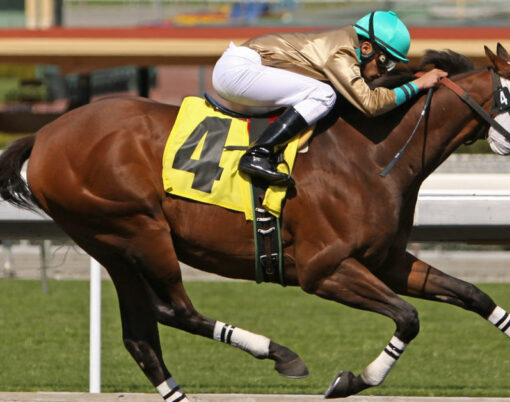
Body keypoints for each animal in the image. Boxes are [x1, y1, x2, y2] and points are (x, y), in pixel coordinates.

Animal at [0, 45, 510, 400]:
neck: (370, 154)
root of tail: (46, 134)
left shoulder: (387, 260)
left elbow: (474, 295)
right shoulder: (324, 270)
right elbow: (408, 317)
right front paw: (350, 380)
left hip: (112, 248)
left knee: (142, 338)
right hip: (137, 231)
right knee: (173, 311)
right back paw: (280, 353)